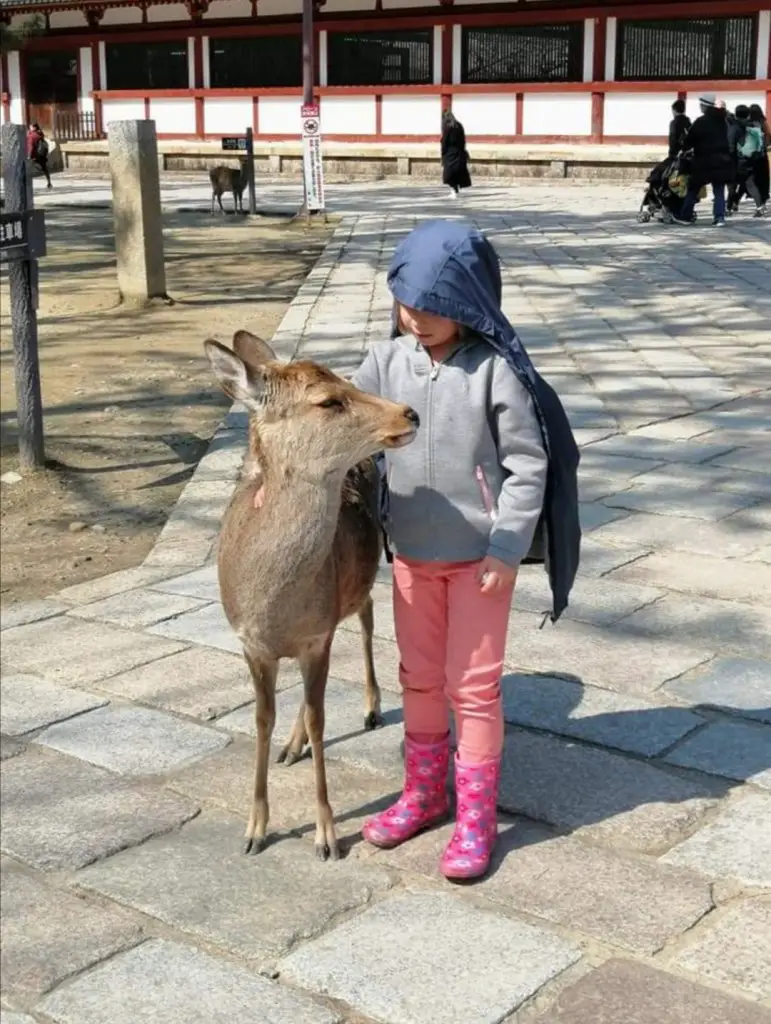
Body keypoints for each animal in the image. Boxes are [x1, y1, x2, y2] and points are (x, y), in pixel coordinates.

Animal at [204, 331, 417, 860]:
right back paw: (291, 746)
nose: (408, 413)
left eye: (349, 381)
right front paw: (254, 829)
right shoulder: (251, 644)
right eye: (328, 400)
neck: (275, 606)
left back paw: (370, 708)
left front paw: (326, 836)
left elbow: (321, 720)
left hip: (356, 587)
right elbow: (262, 719)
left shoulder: (317, 636)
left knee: (366, 615)